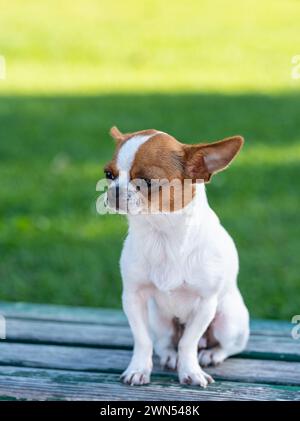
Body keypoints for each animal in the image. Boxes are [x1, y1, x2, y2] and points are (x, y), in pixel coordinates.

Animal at [104, 127, 250, 388]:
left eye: (147, 181)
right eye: (108, 174)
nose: (114, 191)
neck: (162, 234)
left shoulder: (206, 304)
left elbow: (188, 343)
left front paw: (191, 371)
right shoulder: (133, 298)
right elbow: (143, 340)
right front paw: (138, 369)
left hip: (228, 320)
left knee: (227, 346)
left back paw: (211, 354)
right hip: (159, 320)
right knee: (164, 343)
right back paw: (171, 357)